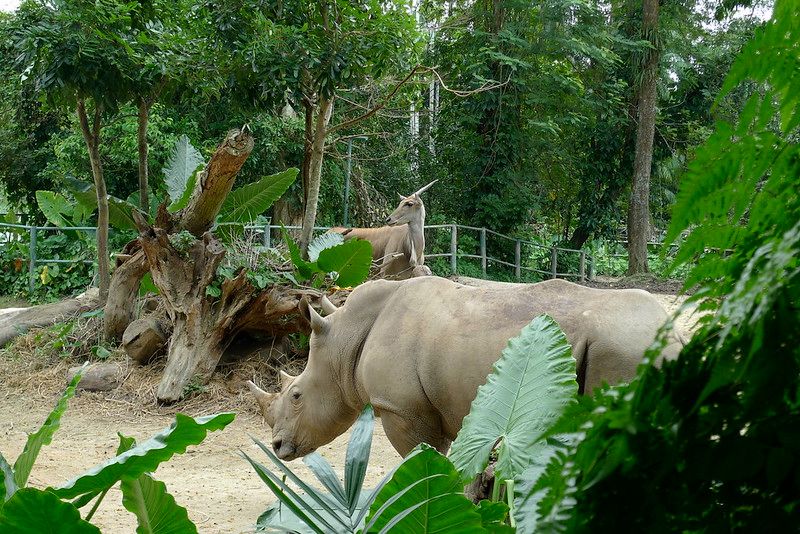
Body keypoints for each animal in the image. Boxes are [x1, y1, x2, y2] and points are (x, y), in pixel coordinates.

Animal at [248, 276, 682, 461]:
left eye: (297, 395)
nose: (277, 448)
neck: (344, 342)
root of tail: (673, 331)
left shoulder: (401, 408)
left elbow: (419, 461)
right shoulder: (435, 408)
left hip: (626, 348)